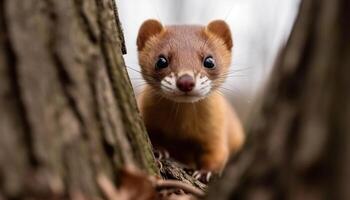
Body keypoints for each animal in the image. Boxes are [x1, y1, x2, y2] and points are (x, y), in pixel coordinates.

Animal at [135, 19, 245, 172]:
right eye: (161, 61)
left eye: (209, 61)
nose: (185, 81)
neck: (182, 130)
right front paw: (159, 150)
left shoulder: (216, 130)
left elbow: (218, 154)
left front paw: (205, 173)